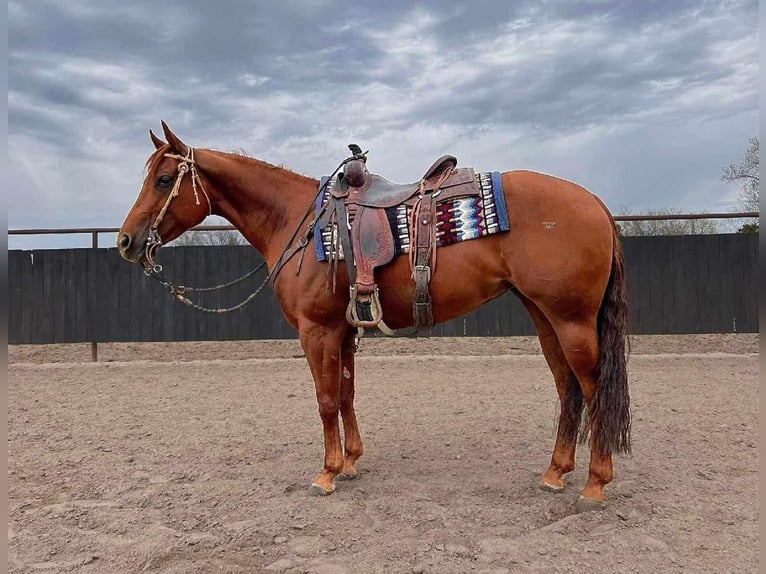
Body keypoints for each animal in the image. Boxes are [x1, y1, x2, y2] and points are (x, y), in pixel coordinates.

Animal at [115, 122, 632, 512]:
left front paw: (326, 472)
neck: (298, 222)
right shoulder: (343, 331)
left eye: (164, 180)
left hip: (571, 320)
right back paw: (556, 472)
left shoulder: (317, 331)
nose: (125, 241)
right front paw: (350, 462)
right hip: (544, 317)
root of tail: (596, 204)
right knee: (567, 389)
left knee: (592, 389)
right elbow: (345, 393)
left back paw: (595, 482)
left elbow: (326, 399)